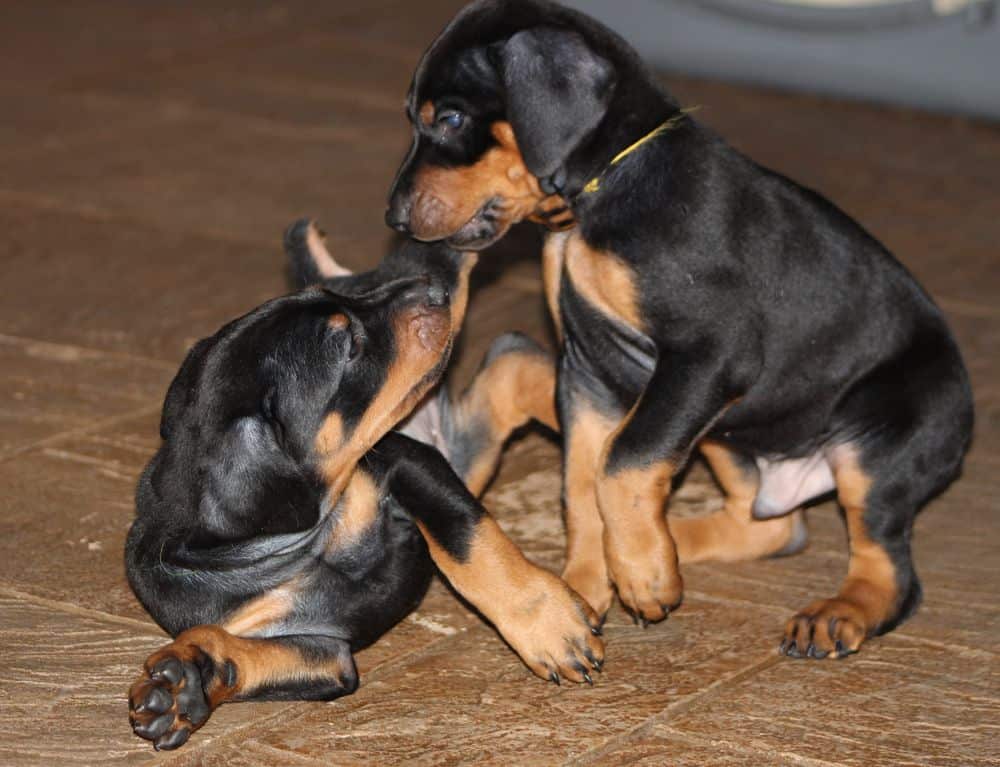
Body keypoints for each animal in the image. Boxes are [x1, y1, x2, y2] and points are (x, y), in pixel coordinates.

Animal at [121, 222, 596, 752]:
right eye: (347, 345)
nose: (432, 291)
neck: (303, 541)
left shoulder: (406, 460)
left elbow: (466, 540)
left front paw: (549, 625)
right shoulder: (321, 650)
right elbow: (238, 652)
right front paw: (181, 689)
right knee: (512, 367)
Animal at [386, 0, 972, 660]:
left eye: (451, 118)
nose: (395, 218)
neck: (606, 187)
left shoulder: (708, 353)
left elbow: (622, 459)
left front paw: (641, 575)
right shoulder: (588, 370)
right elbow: (582, 482)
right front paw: (586, 585)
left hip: (875, 442)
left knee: (889, 569)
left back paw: (832, 610)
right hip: (724, 432)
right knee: (771, 527)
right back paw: (673, 542)